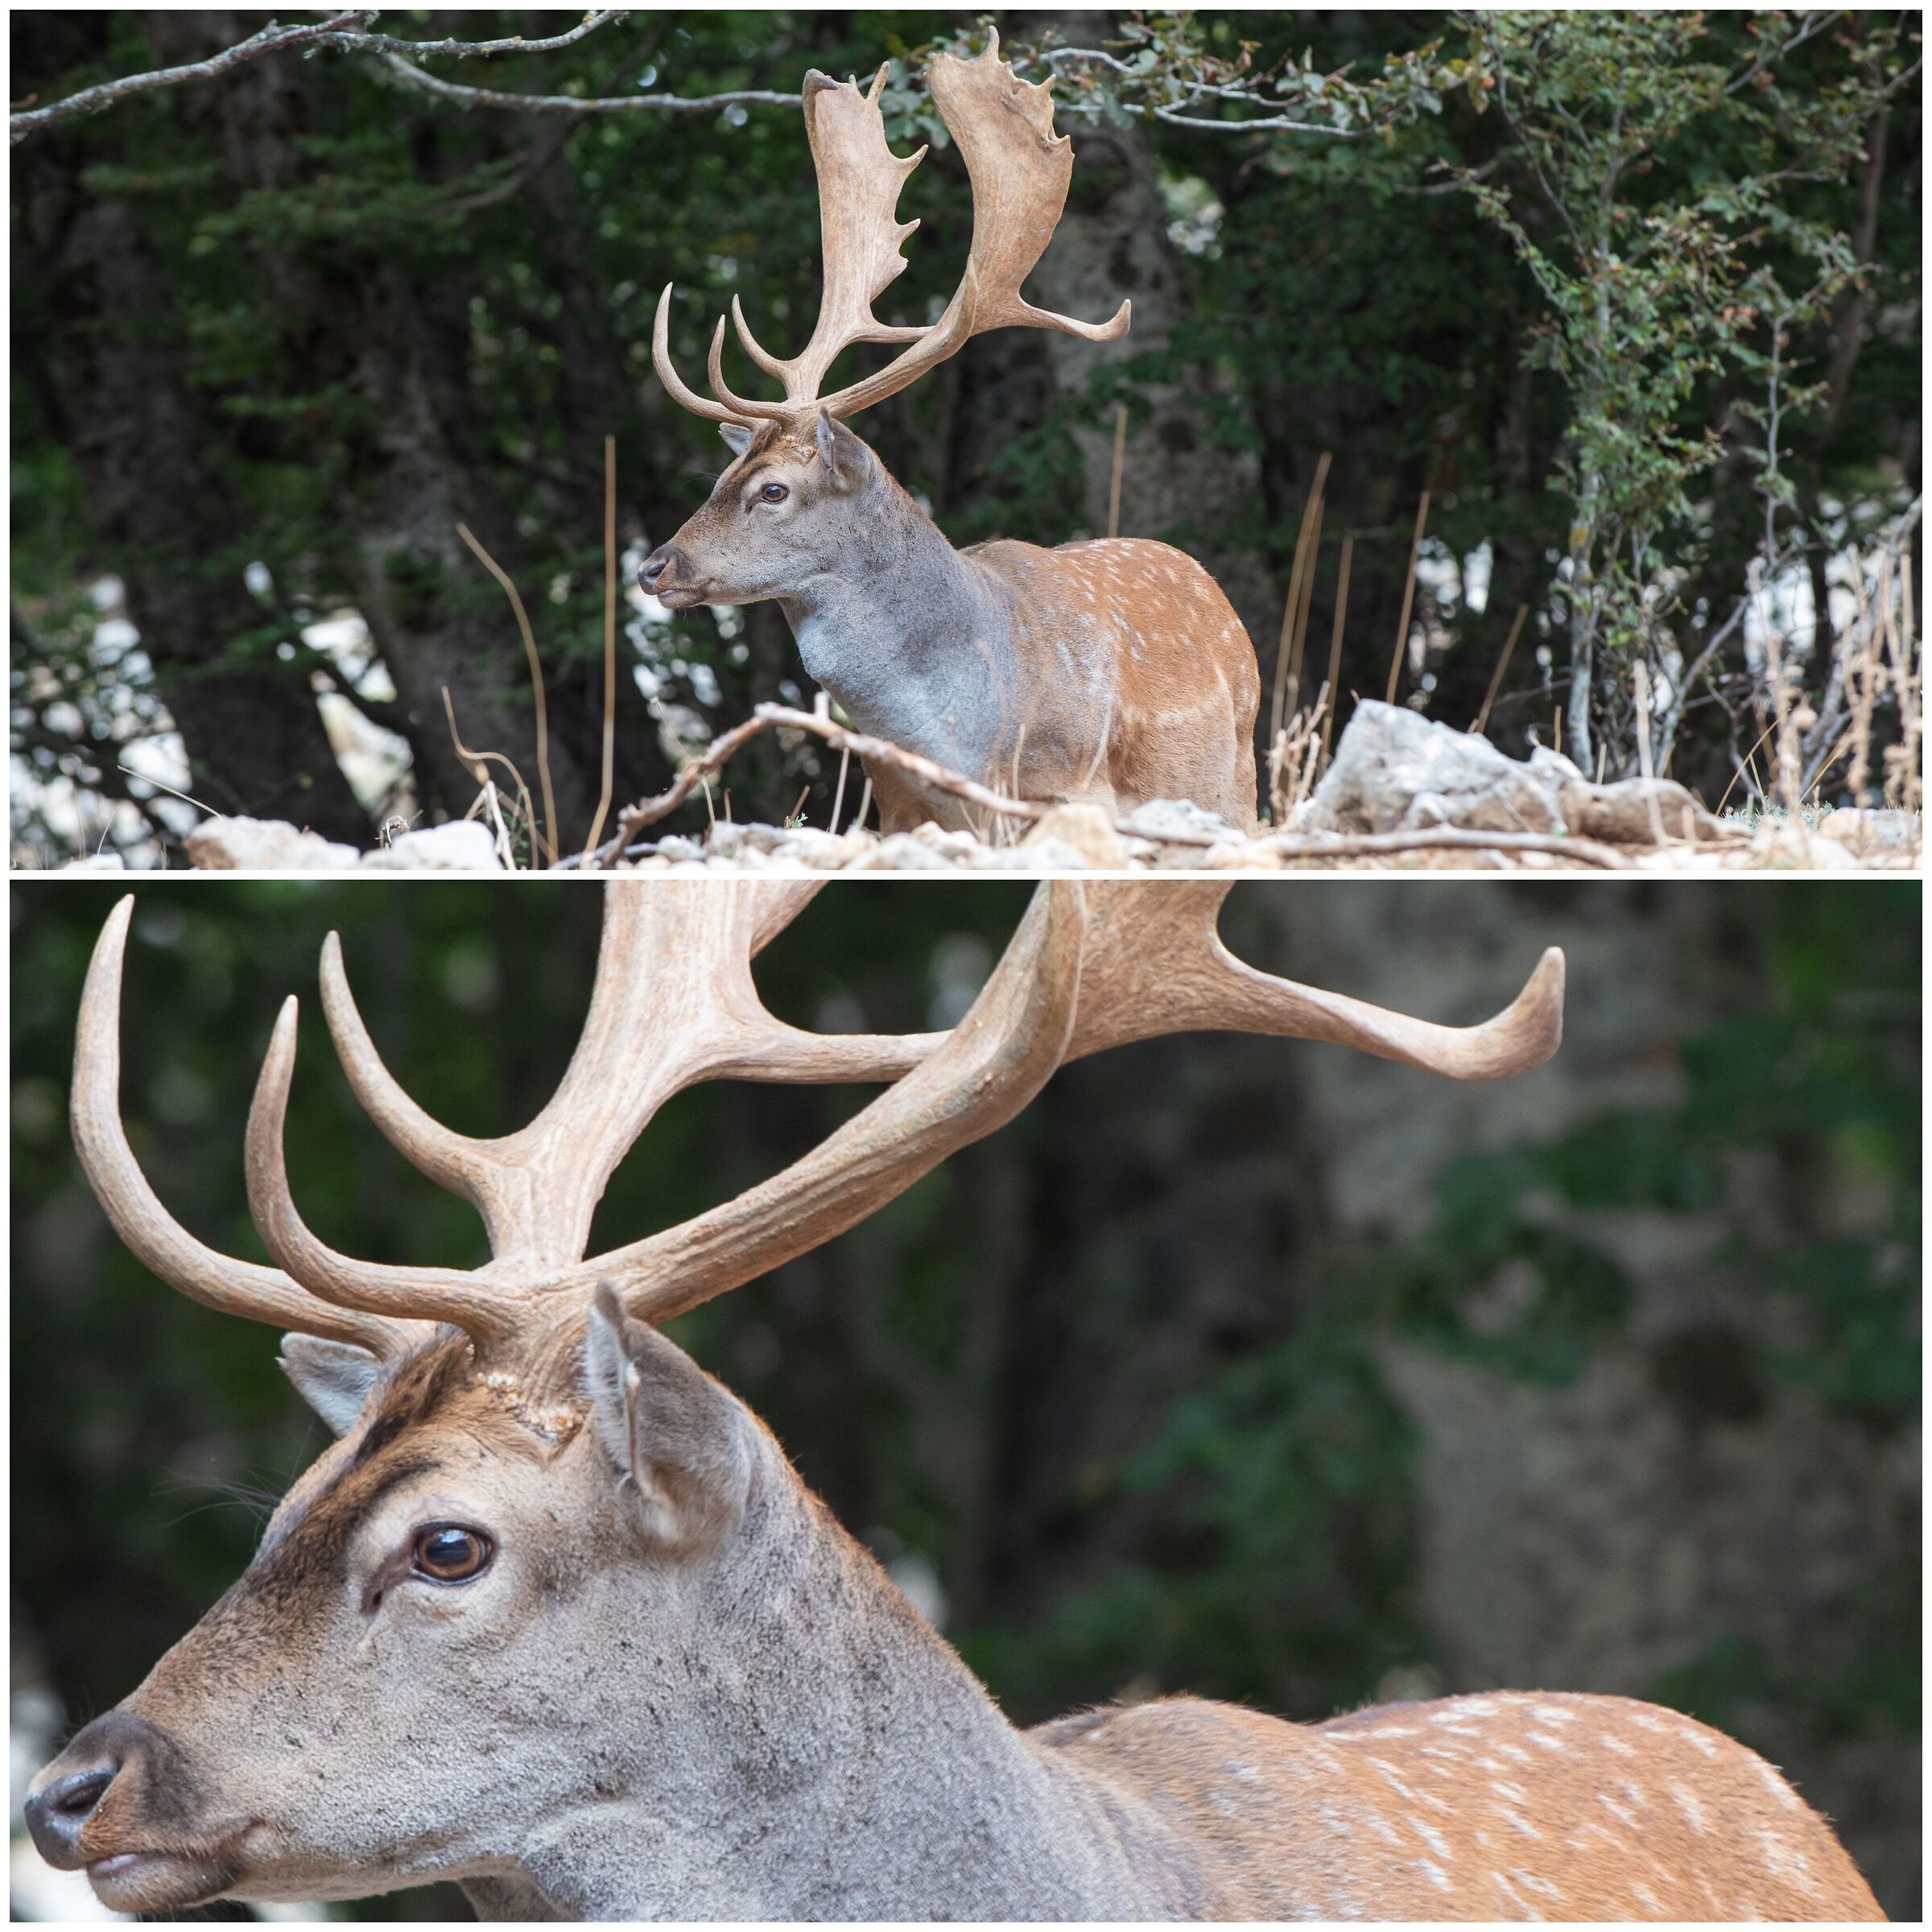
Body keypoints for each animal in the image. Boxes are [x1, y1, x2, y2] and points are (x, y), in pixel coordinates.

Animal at [640, 37, 1262, 836]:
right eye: (717, 480)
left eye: (772, 490)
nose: (654, 567)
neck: (961, 747)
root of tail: (1214, 592)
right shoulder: (895, 810)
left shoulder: (1064, 793)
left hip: (1237, 780)